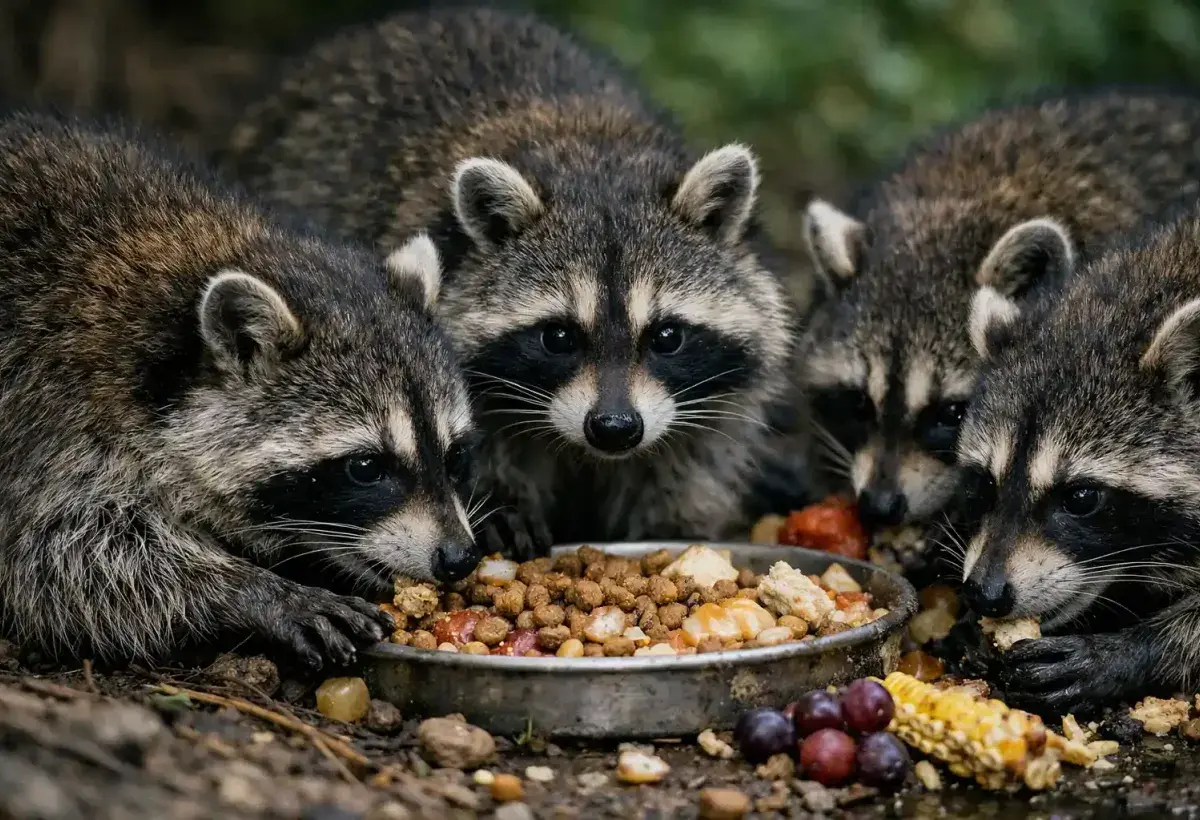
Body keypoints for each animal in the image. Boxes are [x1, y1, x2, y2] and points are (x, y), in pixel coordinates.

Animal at [0, 110, 481, 669]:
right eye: (365, 467)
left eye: (455, 454)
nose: (459, 557)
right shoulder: (51, 410)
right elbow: (56, 562)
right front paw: (249, 589)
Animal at [213, 7, 797, 555]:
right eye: (558, 337)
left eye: (667, 336)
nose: (614, 428)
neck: (594, 156)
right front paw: (499, 504)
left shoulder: (717, 396)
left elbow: (693, 459)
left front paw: (677, 527)